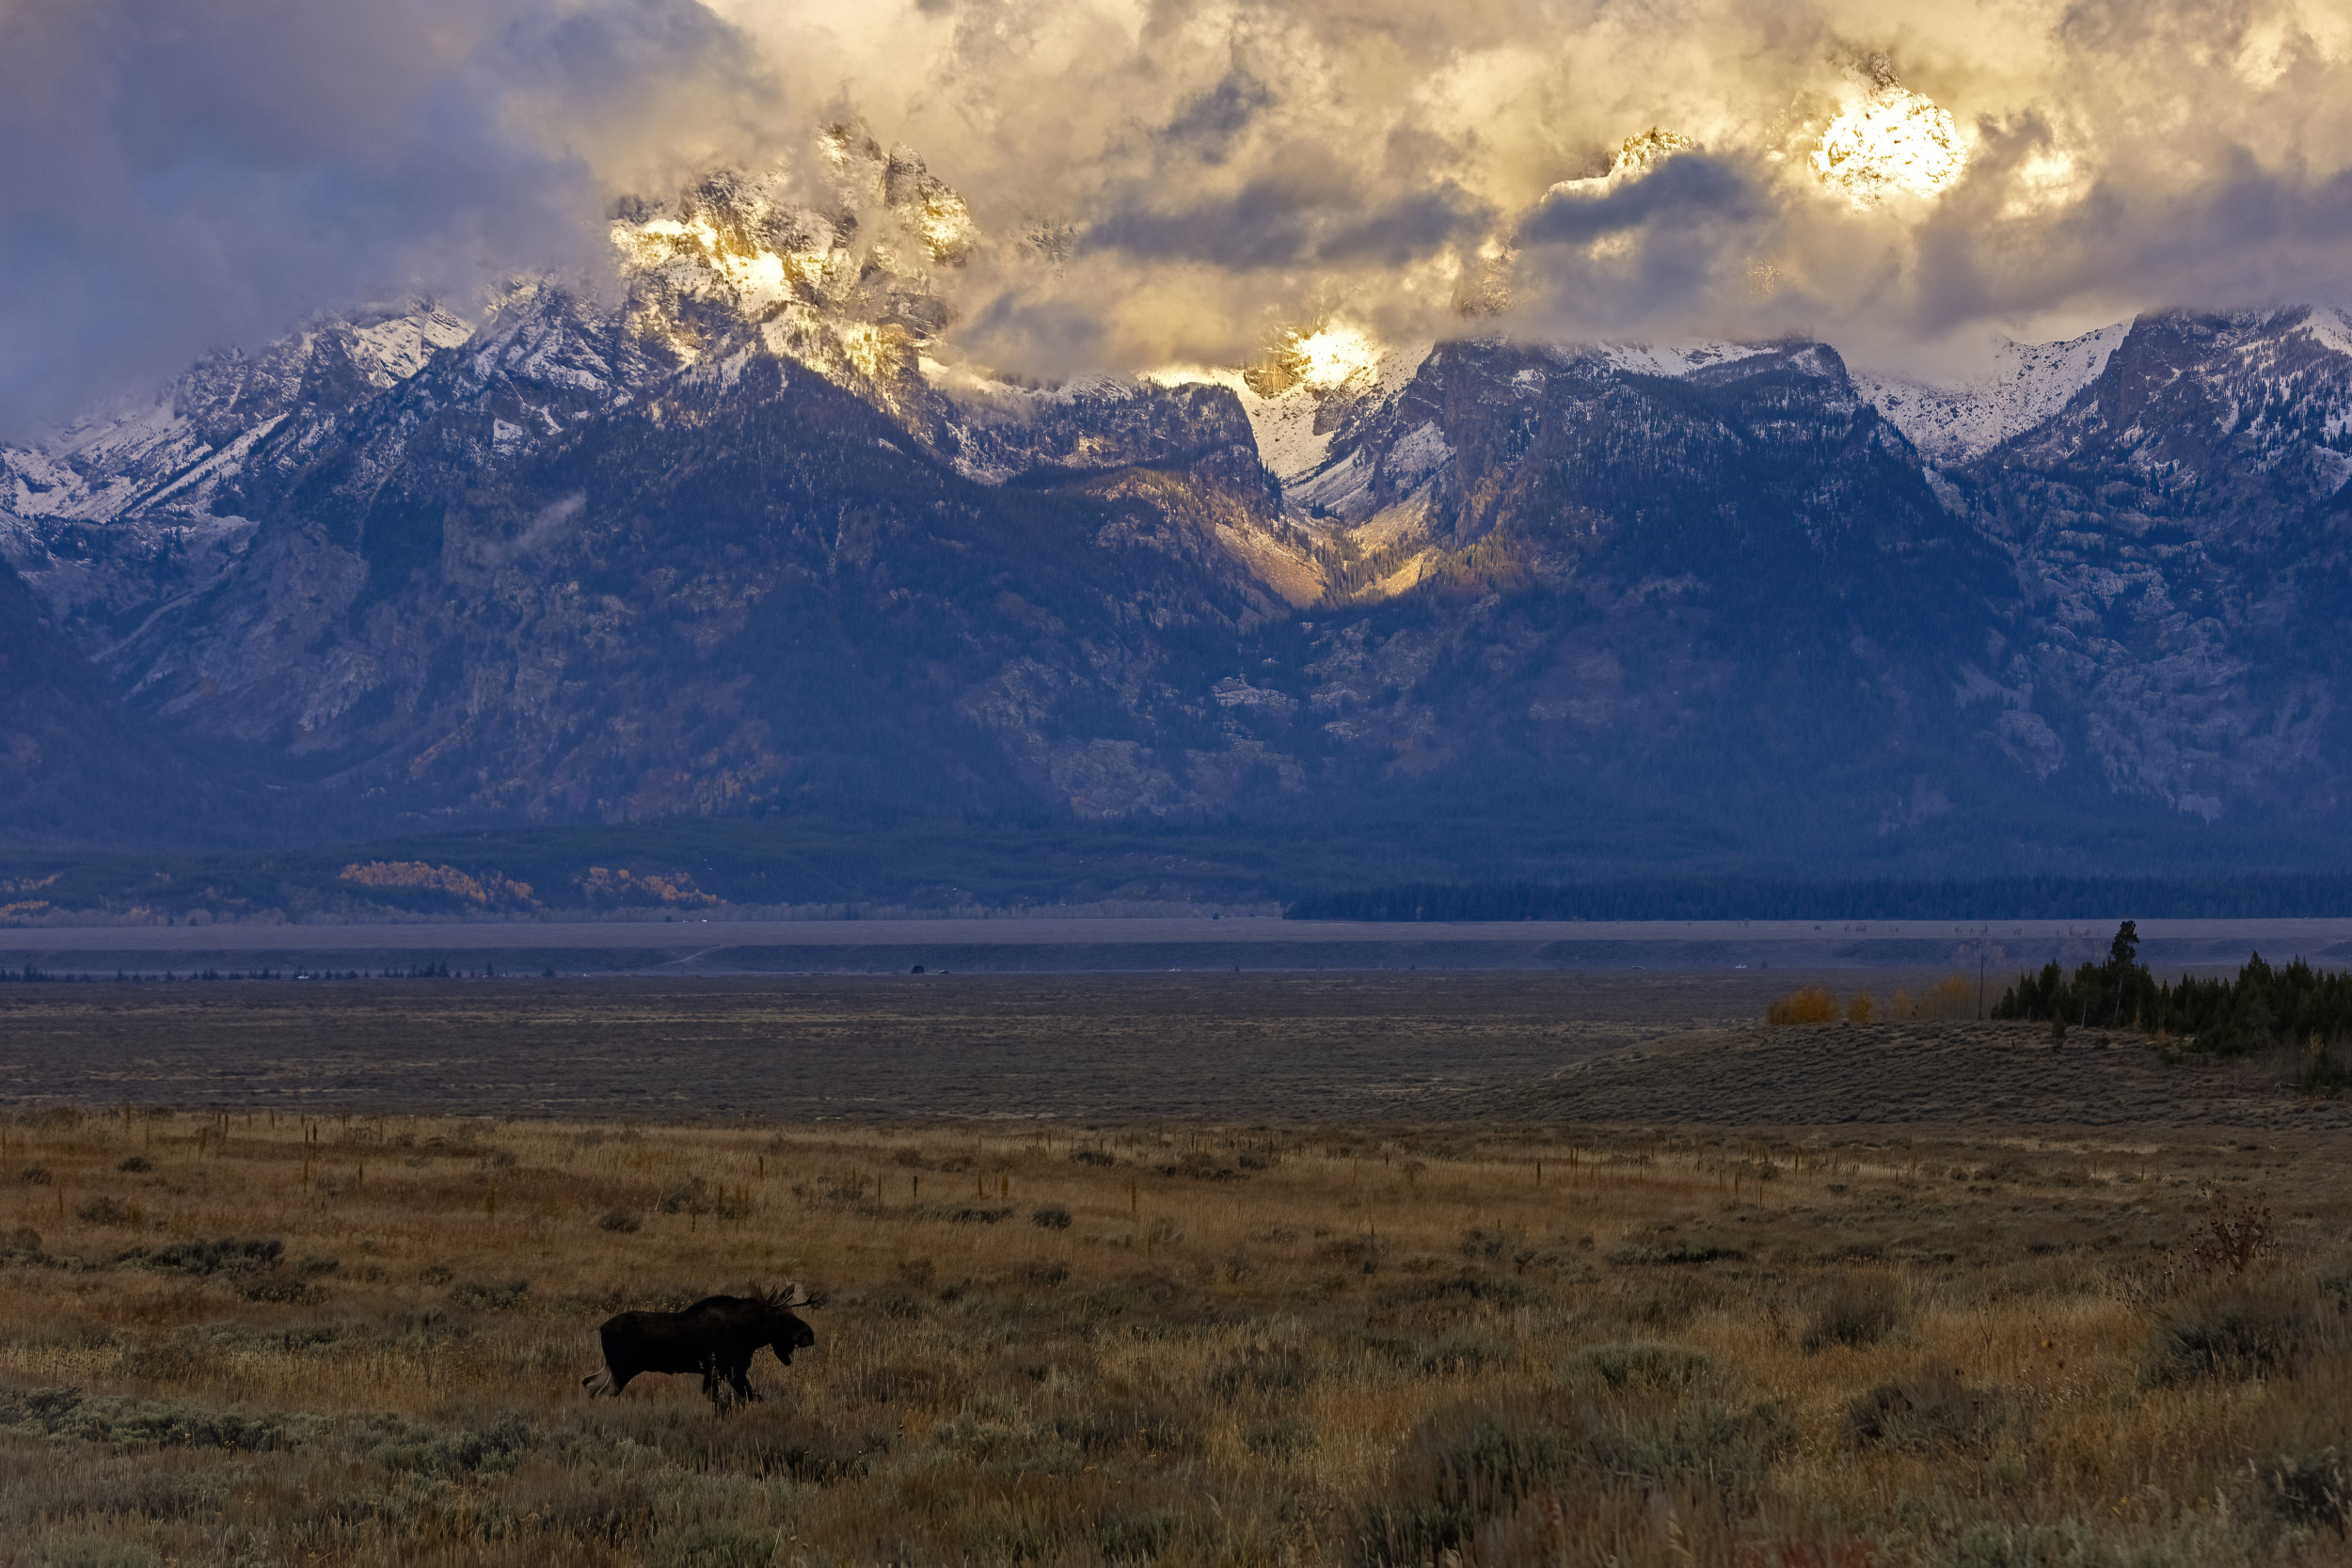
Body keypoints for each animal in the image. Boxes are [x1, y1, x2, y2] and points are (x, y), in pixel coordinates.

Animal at [580, 1288, 818, 1410]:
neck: (750, 1333)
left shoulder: (713, 1373)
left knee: (590, 1384)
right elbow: (754, 1399)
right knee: (602, 1393)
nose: (809, 1334)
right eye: (782, 1316)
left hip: (613, 1367)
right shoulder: (732, 1371)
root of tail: (602, 1328)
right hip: (623, 1369)